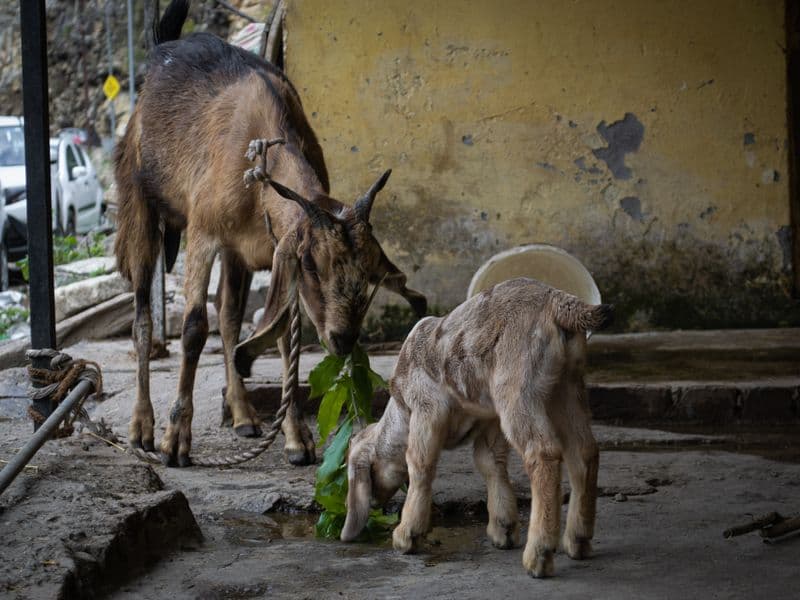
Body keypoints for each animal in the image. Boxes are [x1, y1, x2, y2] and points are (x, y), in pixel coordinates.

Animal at [114, 0, 426, 467]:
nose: (343, 339)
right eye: (313, 266)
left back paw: (243, 416)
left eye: (370, 271)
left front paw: (297, 438)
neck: (259, 163)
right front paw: (176, 440)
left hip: (236, 254)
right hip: (142, 207)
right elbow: (193, 328)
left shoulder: (269, 247)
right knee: (143, 319)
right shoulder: (204, 234)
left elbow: (277, 333)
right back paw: (142, 427)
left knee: (228, 317)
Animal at [340, 278, 613, 577]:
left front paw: (406, 535)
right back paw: (578, 541)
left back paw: (538, 556)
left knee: (543, 453)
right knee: (584, 452)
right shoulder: (489, 420)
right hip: (567, 387)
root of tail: (557, 301)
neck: (402, 410)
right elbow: (489, 463)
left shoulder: (427, 408)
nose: (375, 505)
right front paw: (502, 530)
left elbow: (419, 464)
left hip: (518, 390)